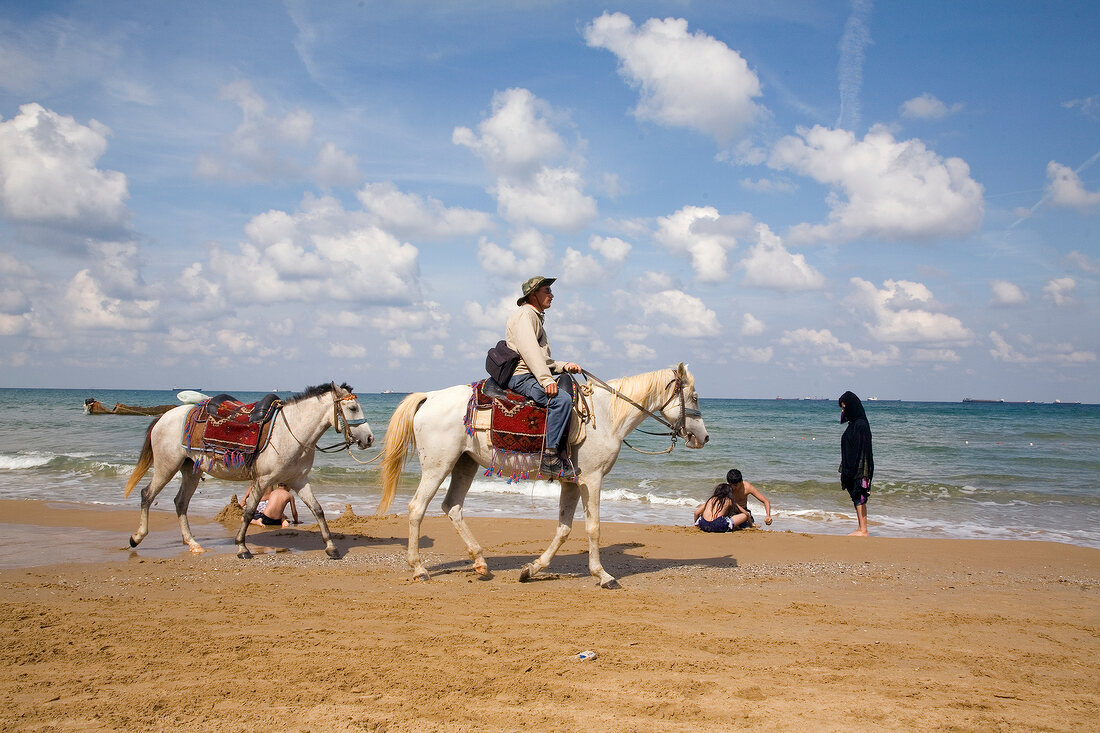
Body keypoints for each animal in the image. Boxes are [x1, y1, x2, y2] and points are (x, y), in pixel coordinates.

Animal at [124, 378, 374, 556]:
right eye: (353, 408)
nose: (369, 438)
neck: (290, 431)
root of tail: (164, 416)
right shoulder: (263, 479)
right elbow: (248, 510)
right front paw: (242, 547)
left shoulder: (299, 480)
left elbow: (318, 510)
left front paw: (331, 547)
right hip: (167, 466)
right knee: (147, 494)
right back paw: (137, 537)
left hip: (190, 469)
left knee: (180, 503)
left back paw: (193, 543)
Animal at [376, 363, 704, 585]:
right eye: (696, 397)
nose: (704, 437)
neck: (606, 415)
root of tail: (429, 397)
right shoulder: (592, 480)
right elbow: (593, 528)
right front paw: (603, 575)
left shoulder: (572, 482)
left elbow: (564, 529)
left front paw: (532, 569)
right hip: (437, 466)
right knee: (417, 508)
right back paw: (419, 568)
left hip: (465, 463)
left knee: (452, 506)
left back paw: (480, 562)